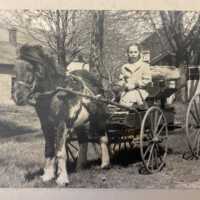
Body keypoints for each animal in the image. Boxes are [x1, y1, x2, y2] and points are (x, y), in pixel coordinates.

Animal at [13, 44, 110, 186]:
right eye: (14, 69)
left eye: (30, 69)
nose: (17, 97)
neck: (54, 93)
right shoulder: (46, 125)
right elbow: (49, 149)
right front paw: (47, 176)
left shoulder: (60, 124)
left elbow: (60, 152)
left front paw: (62, 178)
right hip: (80, 123)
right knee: (83, 141)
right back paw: (80, 167)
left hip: (98, 117)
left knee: (103, 138)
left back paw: (105, 164)